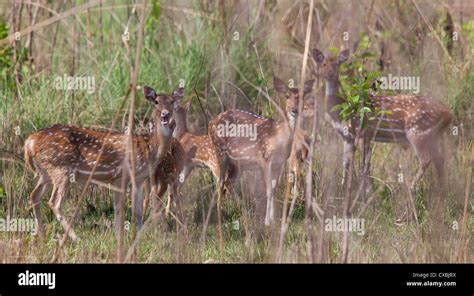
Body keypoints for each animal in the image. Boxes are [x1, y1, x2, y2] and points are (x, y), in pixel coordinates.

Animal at [23, 84, 183, 239]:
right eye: (156, 101)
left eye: (171, 101)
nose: (165, 114)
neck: (150, 149)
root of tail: (30, 141)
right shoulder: (121, 175)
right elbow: (119, 208)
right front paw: (119, 235)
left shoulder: (139, 179)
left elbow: (137, 209)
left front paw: (140, 235)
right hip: (61, 169)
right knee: (54, 202)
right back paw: (75, 238)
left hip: (46, 172)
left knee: (34, 195)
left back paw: (41, 235)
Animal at [208, 77, 312, 225]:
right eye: (287, 96)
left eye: (302, 96)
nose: (294, 109)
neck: (279, 137)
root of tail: (210, 122)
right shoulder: (264, 158)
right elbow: (268, 190)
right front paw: (267, 221)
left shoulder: (279, 163)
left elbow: (274, 189)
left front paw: (272, 219)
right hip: (220, 152)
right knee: (220, 184)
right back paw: (220, 217)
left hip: (239, 163)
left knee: (229, 182)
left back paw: (246, 212)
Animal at [312, 48, 452, 197]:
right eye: (324, 63)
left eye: (337, 64)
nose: (329, 73)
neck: (340, 112)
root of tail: (448, 113)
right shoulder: (347, 136)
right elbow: (346, 162)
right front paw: (343, 188)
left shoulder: (362, 132)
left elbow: (364, 164)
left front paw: (367, 192)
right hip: (433, 136)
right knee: (440, 160)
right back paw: (441, 191)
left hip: (417, 131)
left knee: (426, 160)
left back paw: (412, 189)